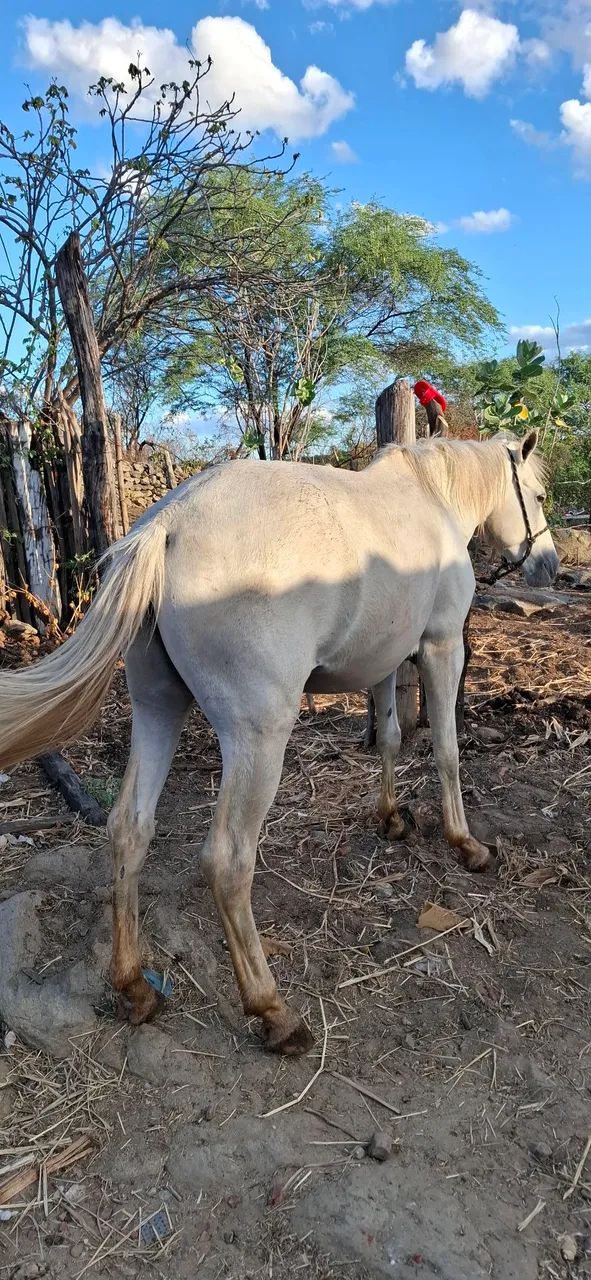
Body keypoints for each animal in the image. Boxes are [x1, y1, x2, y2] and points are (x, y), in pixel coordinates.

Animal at [0, 429, 558, 1056]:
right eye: (537, 495)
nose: (549, 564)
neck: (430, 498)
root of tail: (168, 525)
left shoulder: (387, 660)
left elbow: (390, 739)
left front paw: (392, 817)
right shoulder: (441, 648)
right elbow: (446, 751)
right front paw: (466, 844)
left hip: (157, 709)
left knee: (129, 829)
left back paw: (134, 986)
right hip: (258, 740)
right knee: (228, 861)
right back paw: (273, 1012)